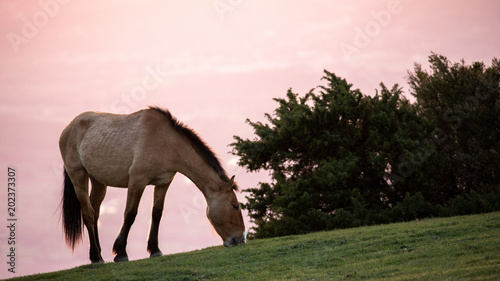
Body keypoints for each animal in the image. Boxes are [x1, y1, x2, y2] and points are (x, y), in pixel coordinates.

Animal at [58, 105, 246, 262]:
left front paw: (155, 250)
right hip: (78, 176)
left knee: (95, 212)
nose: (240, 238)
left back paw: (98, 254)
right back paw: (96, 257)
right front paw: (121, 252)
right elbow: (130, 214)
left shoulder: (163, 183)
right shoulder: (137, 181)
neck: (166, 142)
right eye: (235, 206)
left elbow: (157, 213)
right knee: (88, 214)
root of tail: (69, 127)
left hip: (98, 181)